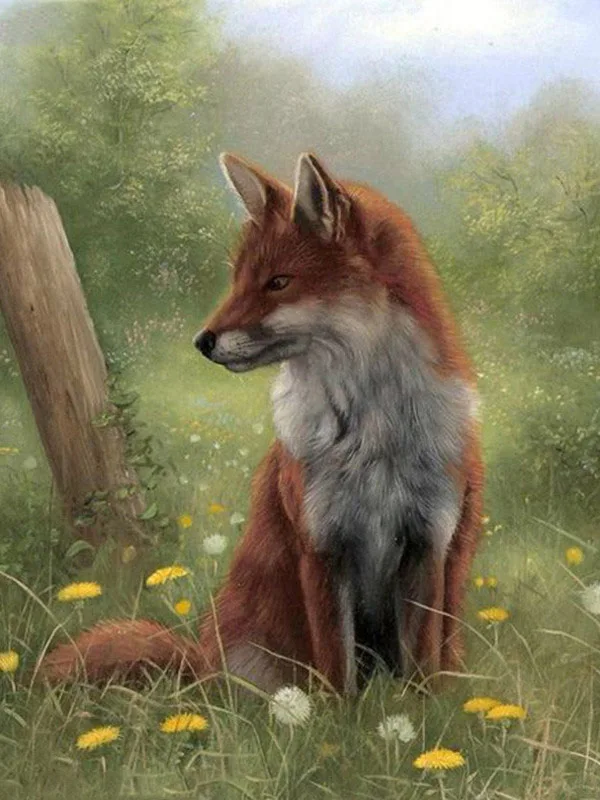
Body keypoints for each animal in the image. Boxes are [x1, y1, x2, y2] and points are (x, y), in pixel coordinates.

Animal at [39, 152, 484, 696]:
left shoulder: (427, 544)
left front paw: (420, 711)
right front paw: (341, 718)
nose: (202, 341)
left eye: (278, 282)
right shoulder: (320, 547)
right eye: (238, 280)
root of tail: (201, 658)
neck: (372, 434)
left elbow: (421, 668)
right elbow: (336, 670)